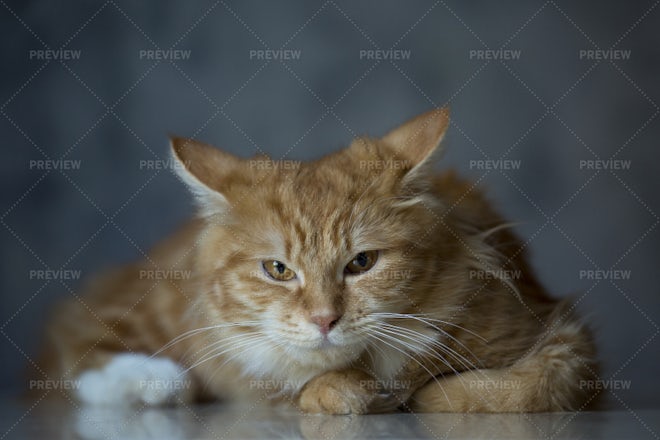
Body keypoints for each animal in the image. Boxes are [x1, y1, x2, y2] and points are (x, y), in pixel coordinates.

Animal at [36, 107, 600, 412]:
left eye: (362, 262)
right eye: (278, 270)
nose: (325, 319)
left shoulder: (563, 342)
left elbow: (512, 391)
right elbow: (316, 388)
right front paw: (350, 391)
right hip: (145, 307)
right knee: (78, 339)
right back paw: (152, 381)